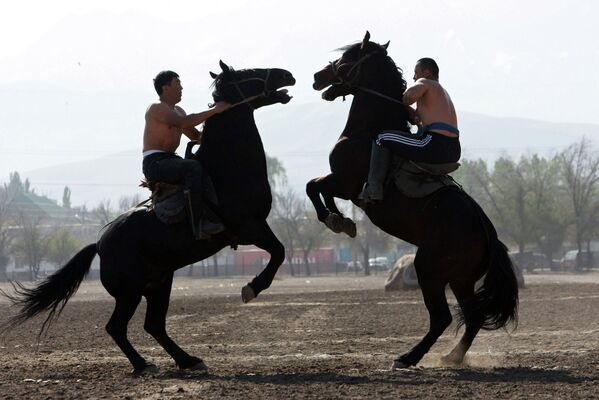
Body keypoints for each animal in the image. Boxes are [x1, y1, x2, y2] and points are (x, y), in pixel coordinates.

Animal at [308, 32, 516, 368]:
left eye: (348, 58)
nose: (317, 76)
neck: (368, 131)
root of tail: (489, 234)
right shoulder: (339, 182)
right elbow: (318, 190)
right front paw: (342, 221)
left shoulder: (344, 182)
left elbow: (313, 188)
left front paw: (336, 220)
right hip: (460, 279)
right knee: (471, 317)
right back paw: (452, 356)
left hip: (428, 268)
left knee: (442, 317)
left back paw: (408, 357)